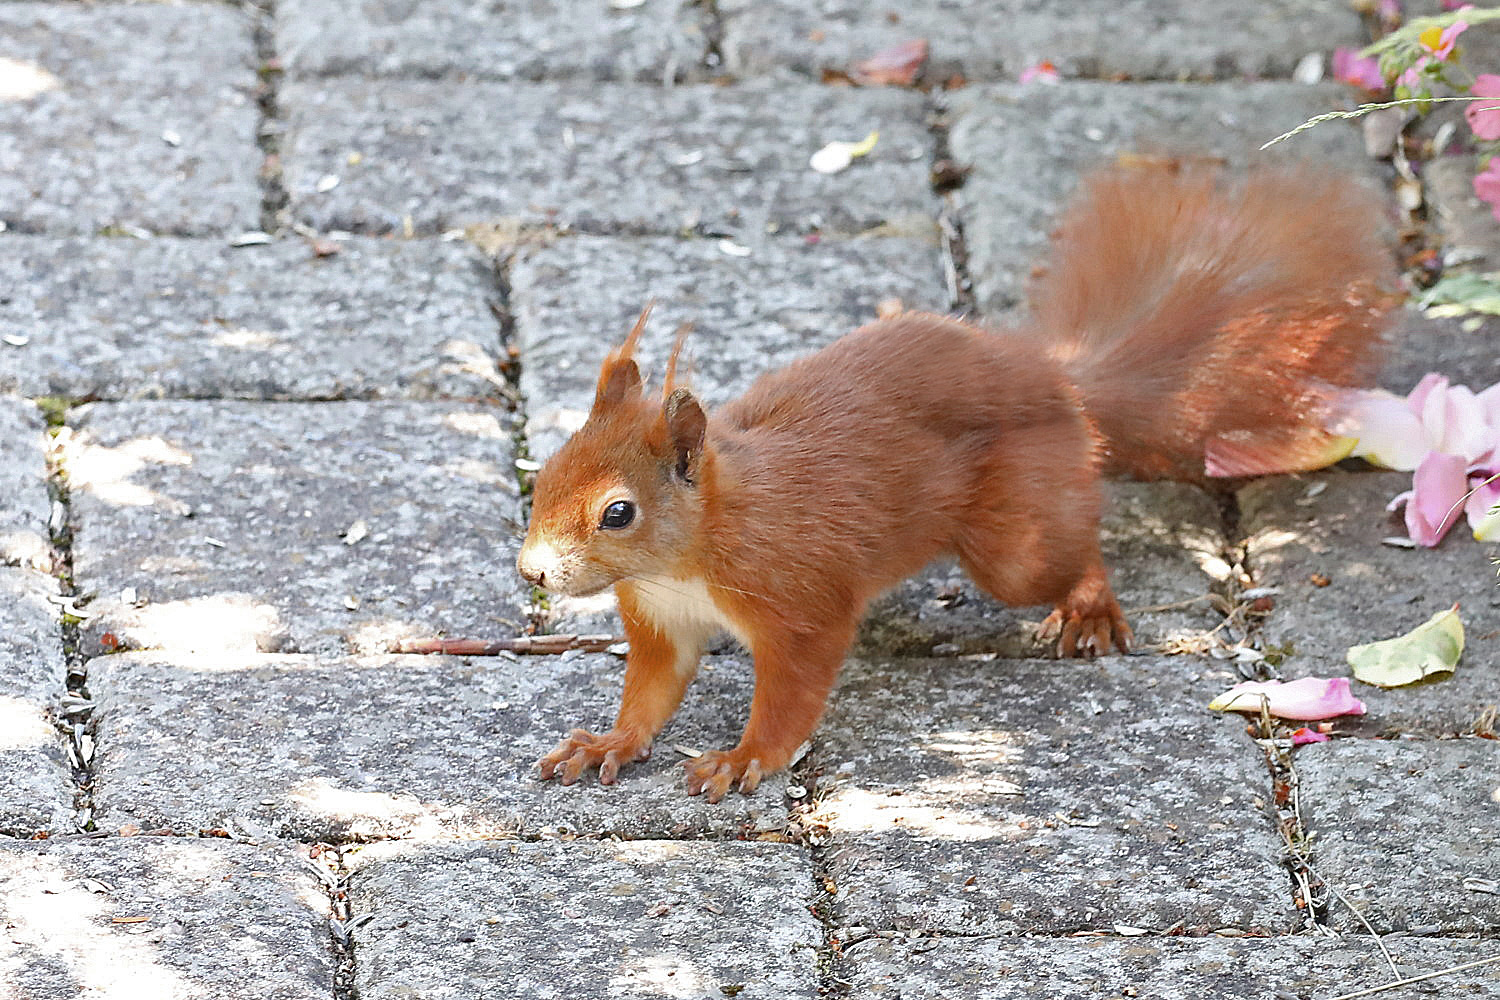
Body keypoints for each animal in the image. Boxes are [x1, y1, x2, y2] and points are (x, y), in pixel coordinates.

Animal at [516, 164, 1392, 803]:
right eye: (547, 473)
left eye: (618, 513)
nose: (531, 571)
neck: (692, 553)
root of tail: (1061, 384)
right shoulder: (661, 621)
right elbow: (652, 693)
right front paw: (609, 741)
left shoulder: (800, 602)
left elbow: (793, 695)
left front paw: (744, 758)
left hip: (1015, 543)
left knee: (1067, 553)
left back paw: (1088, 606)